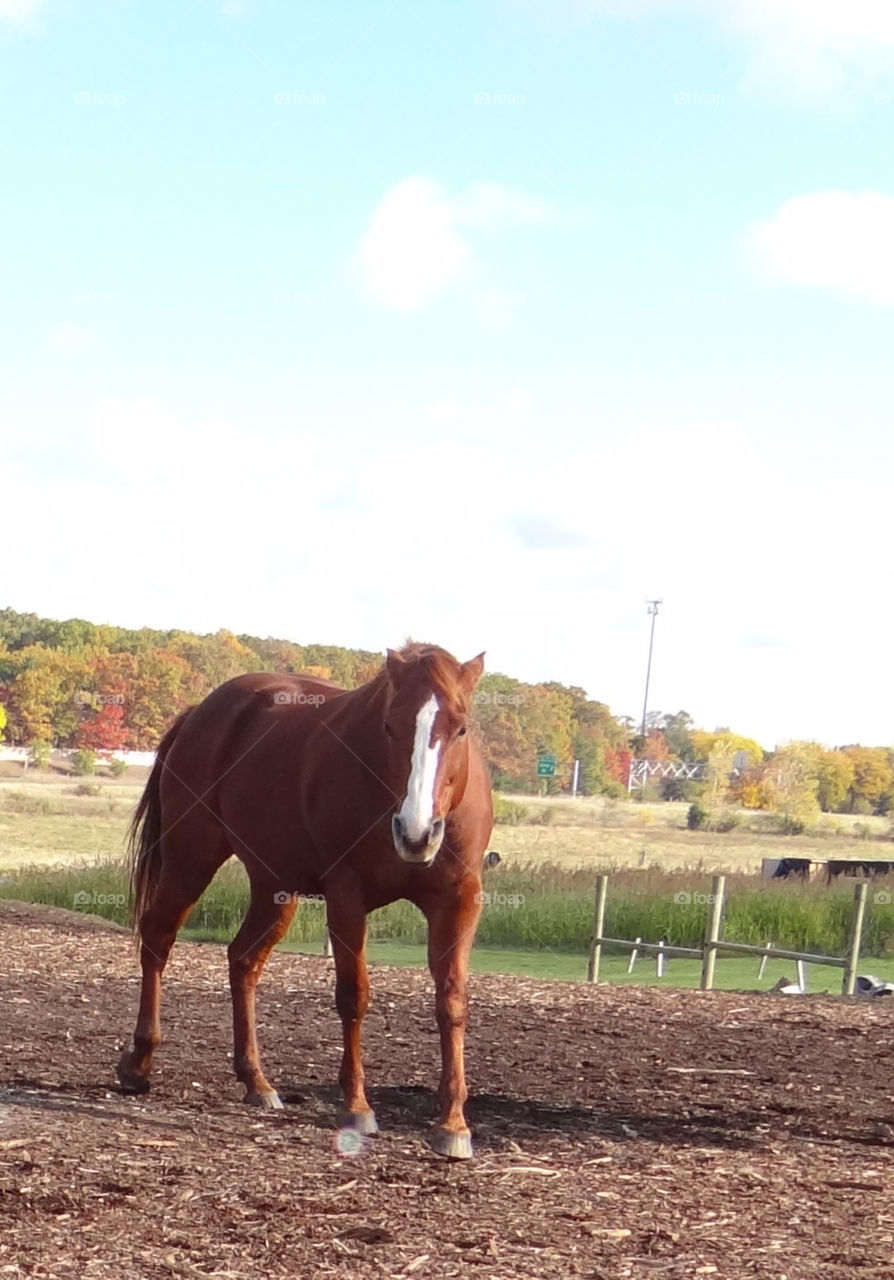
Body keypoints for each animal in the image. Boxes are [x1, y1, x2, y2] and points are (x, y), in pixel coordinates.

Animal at [116, 642, 493, 1159]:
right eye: (390, 726)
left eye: (460, 728)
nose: (415, 832)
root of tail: (200, 712)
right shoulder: (347, 896)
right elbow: (353, 996)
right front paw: (356, 1106)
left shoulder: (459, 901)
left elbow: (452, 1001)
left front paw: (453, 1123)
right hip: (190, 859)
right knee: (158, 939)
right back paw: (139, 1061)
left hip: (275, 886)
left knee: (243, 960)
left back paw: (256, 1080)